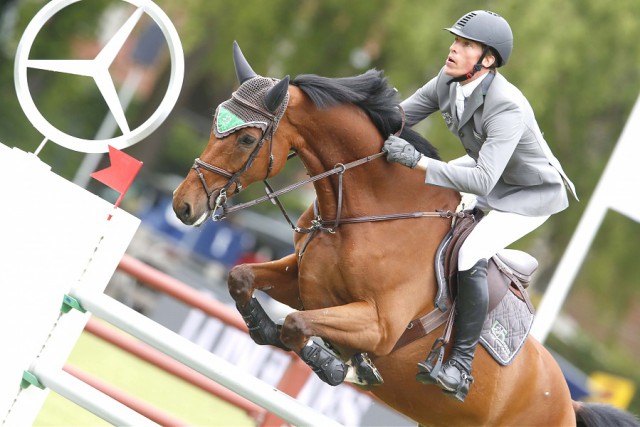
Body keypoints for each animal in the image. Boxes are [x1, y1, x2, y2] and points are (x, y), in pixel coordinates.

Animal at [171, 41, 640, 427]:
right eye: (215, 120)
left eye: (248, 138)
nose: (183, 205)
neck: (361, 213)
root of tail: (568, 401)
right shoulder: (304, 284)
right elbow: (242, 279)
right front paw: (264, 329)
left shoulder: (379, 324)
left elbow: (296, 324)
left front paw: (336, 364)